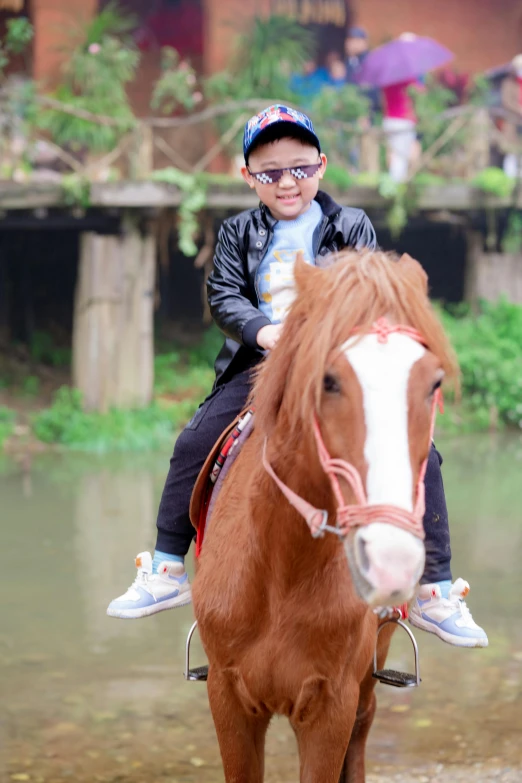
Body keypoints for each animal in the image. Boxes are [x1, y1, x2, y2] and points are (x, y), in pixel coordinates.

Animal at [191, 251, 456, 783]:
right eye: (328, 380)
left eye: (433, 383)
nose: (391, 561)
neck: (281, 567)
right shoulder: (228, 699)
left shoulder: (330, 707)